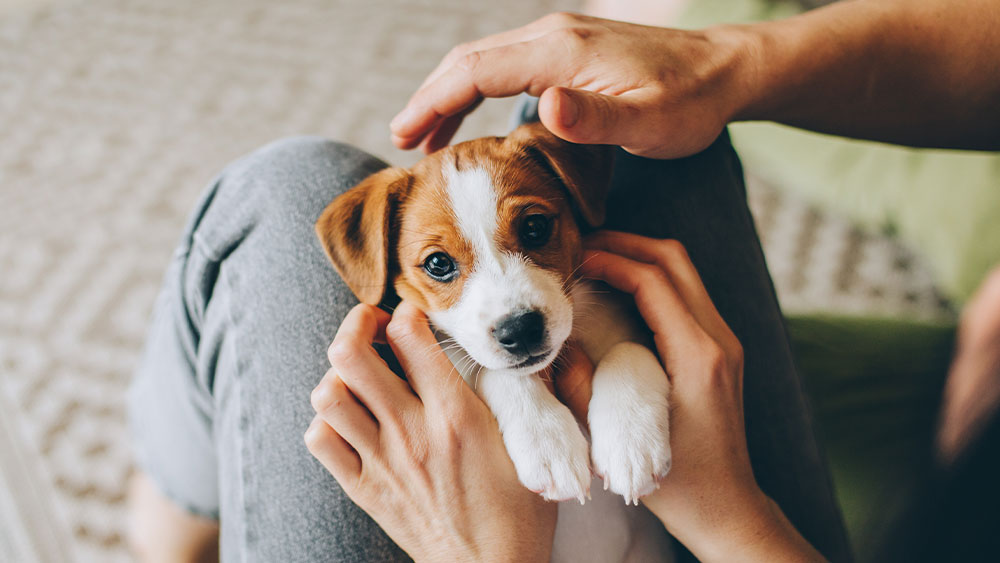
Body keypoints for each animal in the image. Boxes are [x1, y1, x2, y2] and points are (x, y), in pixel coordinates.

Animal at [316, 124, 676, 563]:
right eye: (438, 263)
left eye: (535, 227)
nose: (520, 330)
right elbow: (496, 373)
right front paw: (546, 442)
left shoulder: (632, 325)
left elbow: (630, 349)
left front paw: (629, 441)